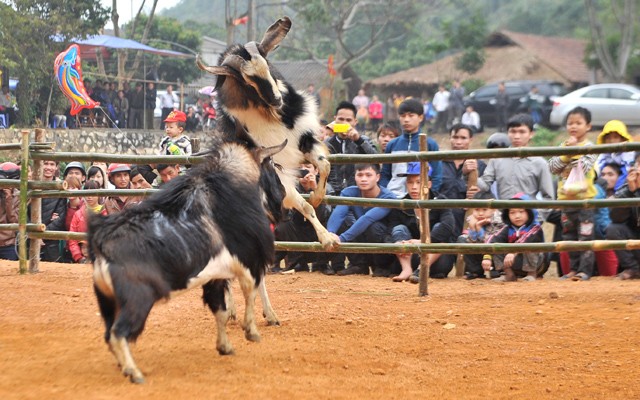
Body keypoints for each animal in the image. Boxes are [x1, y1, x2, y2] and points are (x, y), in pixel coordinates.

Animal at [87, 141, 284, 384]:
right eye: (271, 166)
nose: (281, 198)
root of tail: (102, 245)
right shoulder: (247, 262)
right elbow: (250, 293)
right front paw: (252, 331)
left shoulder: (216, 276)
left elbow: (221, 311)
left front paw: (225, 346)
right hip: (137, 301)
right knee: (118, 333)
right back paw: (134, 372)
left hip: (109, 302)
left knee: (109, 334)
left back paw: (124, 366)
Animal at [195, 17, 338, 248]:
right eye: (247, 80)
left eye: (268, 66)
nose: (277, 99)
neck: (268, 115)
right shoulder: (275, 168)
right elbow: (302, 205)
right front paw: (326, 239)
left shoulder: (302, 139)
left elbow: (324, 165)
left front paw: (317, 199)